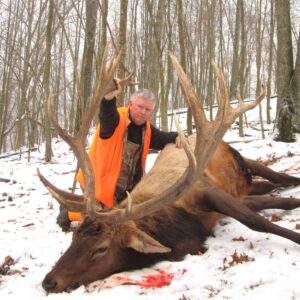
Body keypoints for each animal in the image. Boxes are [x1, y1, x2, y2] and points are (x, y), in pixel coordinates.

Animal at [37, 51, 300, 292]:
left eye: (100, 248)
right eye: (74, 238)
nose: (49, 282)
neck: (181, 224)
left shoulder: (206, 190)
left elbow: (256, 220)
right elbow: (263, 206)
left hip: (237, 156)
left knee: (273, 174)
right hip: (245, 183)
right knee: (267, 185)